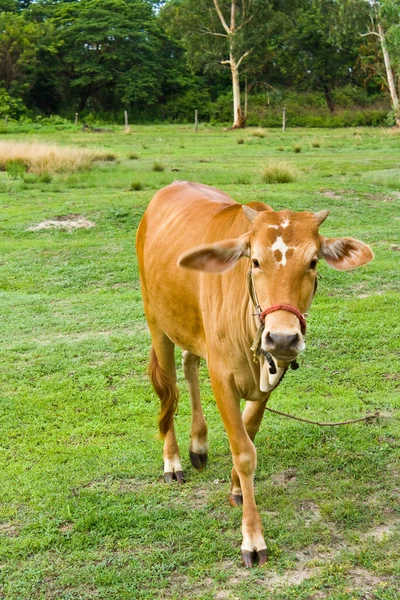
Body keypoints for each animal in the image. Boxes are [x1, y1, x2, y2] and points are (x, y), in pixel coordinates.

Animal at [136, 182, 374, 568]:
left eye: (313, 262)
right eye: (256, 261)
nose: (283, 337)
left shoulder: (269, 379)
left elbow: (249, 431)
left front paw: (235, 487)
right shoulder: (222, 377)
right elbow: (244, 451)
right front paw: (252, 538)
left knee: (189, 364)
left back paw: (198, 444)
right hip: (156, 323)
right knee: (169, 390)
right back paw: (172, 461)